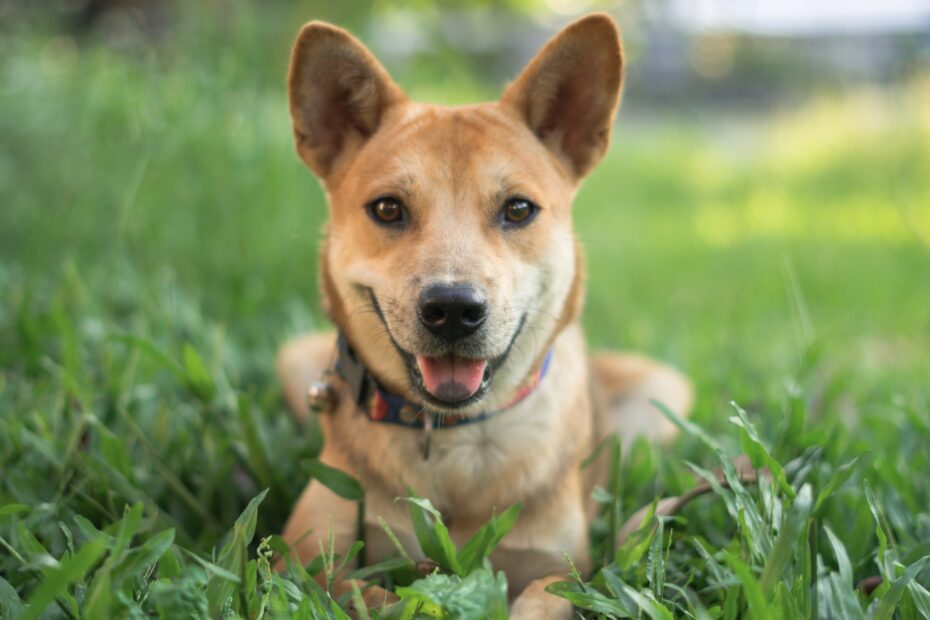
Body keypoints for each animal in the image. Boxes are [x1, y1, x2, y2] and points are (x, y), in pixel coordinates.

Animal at [276, 12, 688, 616]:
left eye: (518, 209)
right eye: (388, 208)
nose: (452, 309)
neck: (454, 437)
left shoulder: (562, 568)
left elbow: (542, 597)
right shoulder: (298, 561)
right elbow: (361, 591)